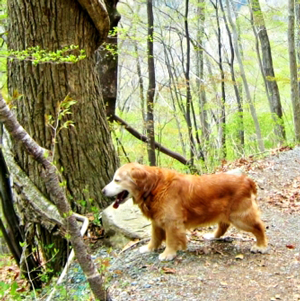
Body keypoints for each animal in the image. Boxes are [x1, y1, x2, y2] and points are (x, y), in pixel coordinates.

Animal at [102, 163, 268, 258]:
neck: (154, 186)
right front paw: (149, 248)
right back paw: (212, 236)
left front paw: (168, 254)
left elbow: (170, 239)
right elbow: (155, 237)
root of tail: (247, 180)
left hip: (240, 217)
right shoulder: (157, 221)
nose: (103, 191)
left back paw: (261, 246)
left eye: (117, 180)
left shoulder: (172, 222)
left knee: (259, 226)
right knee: (223, 225)